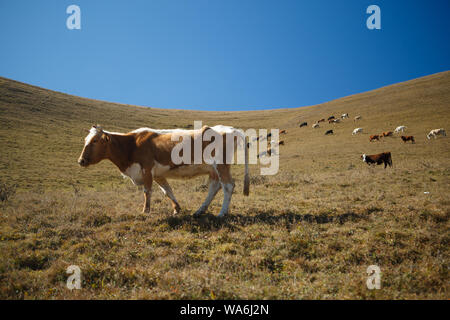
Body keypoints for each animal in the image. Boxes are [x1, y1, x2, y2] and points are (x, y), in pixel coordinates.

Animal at [79, 125, 251, 218]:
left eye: (95, 141)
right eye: (85, 140)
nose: (81, 161)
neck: (131, 145)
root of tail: (230, 129)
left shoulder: (146, 169)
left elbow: (147, 191)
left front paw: (145, 211)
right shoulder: (158, 175)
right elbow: (167, 191)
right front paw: (177, 209)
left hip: (221, 165)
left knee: (228, 185)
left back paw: (222, 213)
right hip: (213, 169)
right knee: (215, 186)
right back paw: (200, 211)